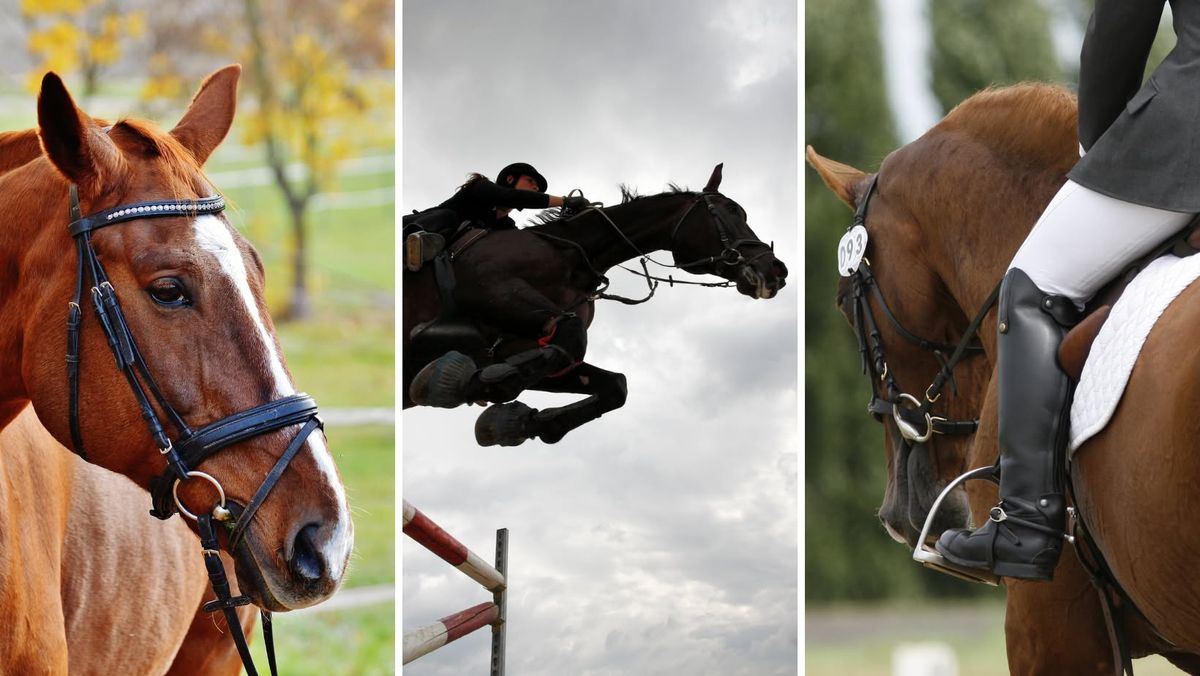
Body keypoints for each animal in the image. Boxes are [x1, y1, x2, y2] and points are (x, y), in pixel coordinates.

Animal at [408, 165, 792, 446]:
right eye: (730, 212)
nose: (776, 271)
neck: (572, 256)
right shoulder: (493, 289)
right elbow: (573, 336)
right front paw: (450, 383)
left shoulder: (517, 349)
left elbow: (612, 385)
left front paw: (512, 421)